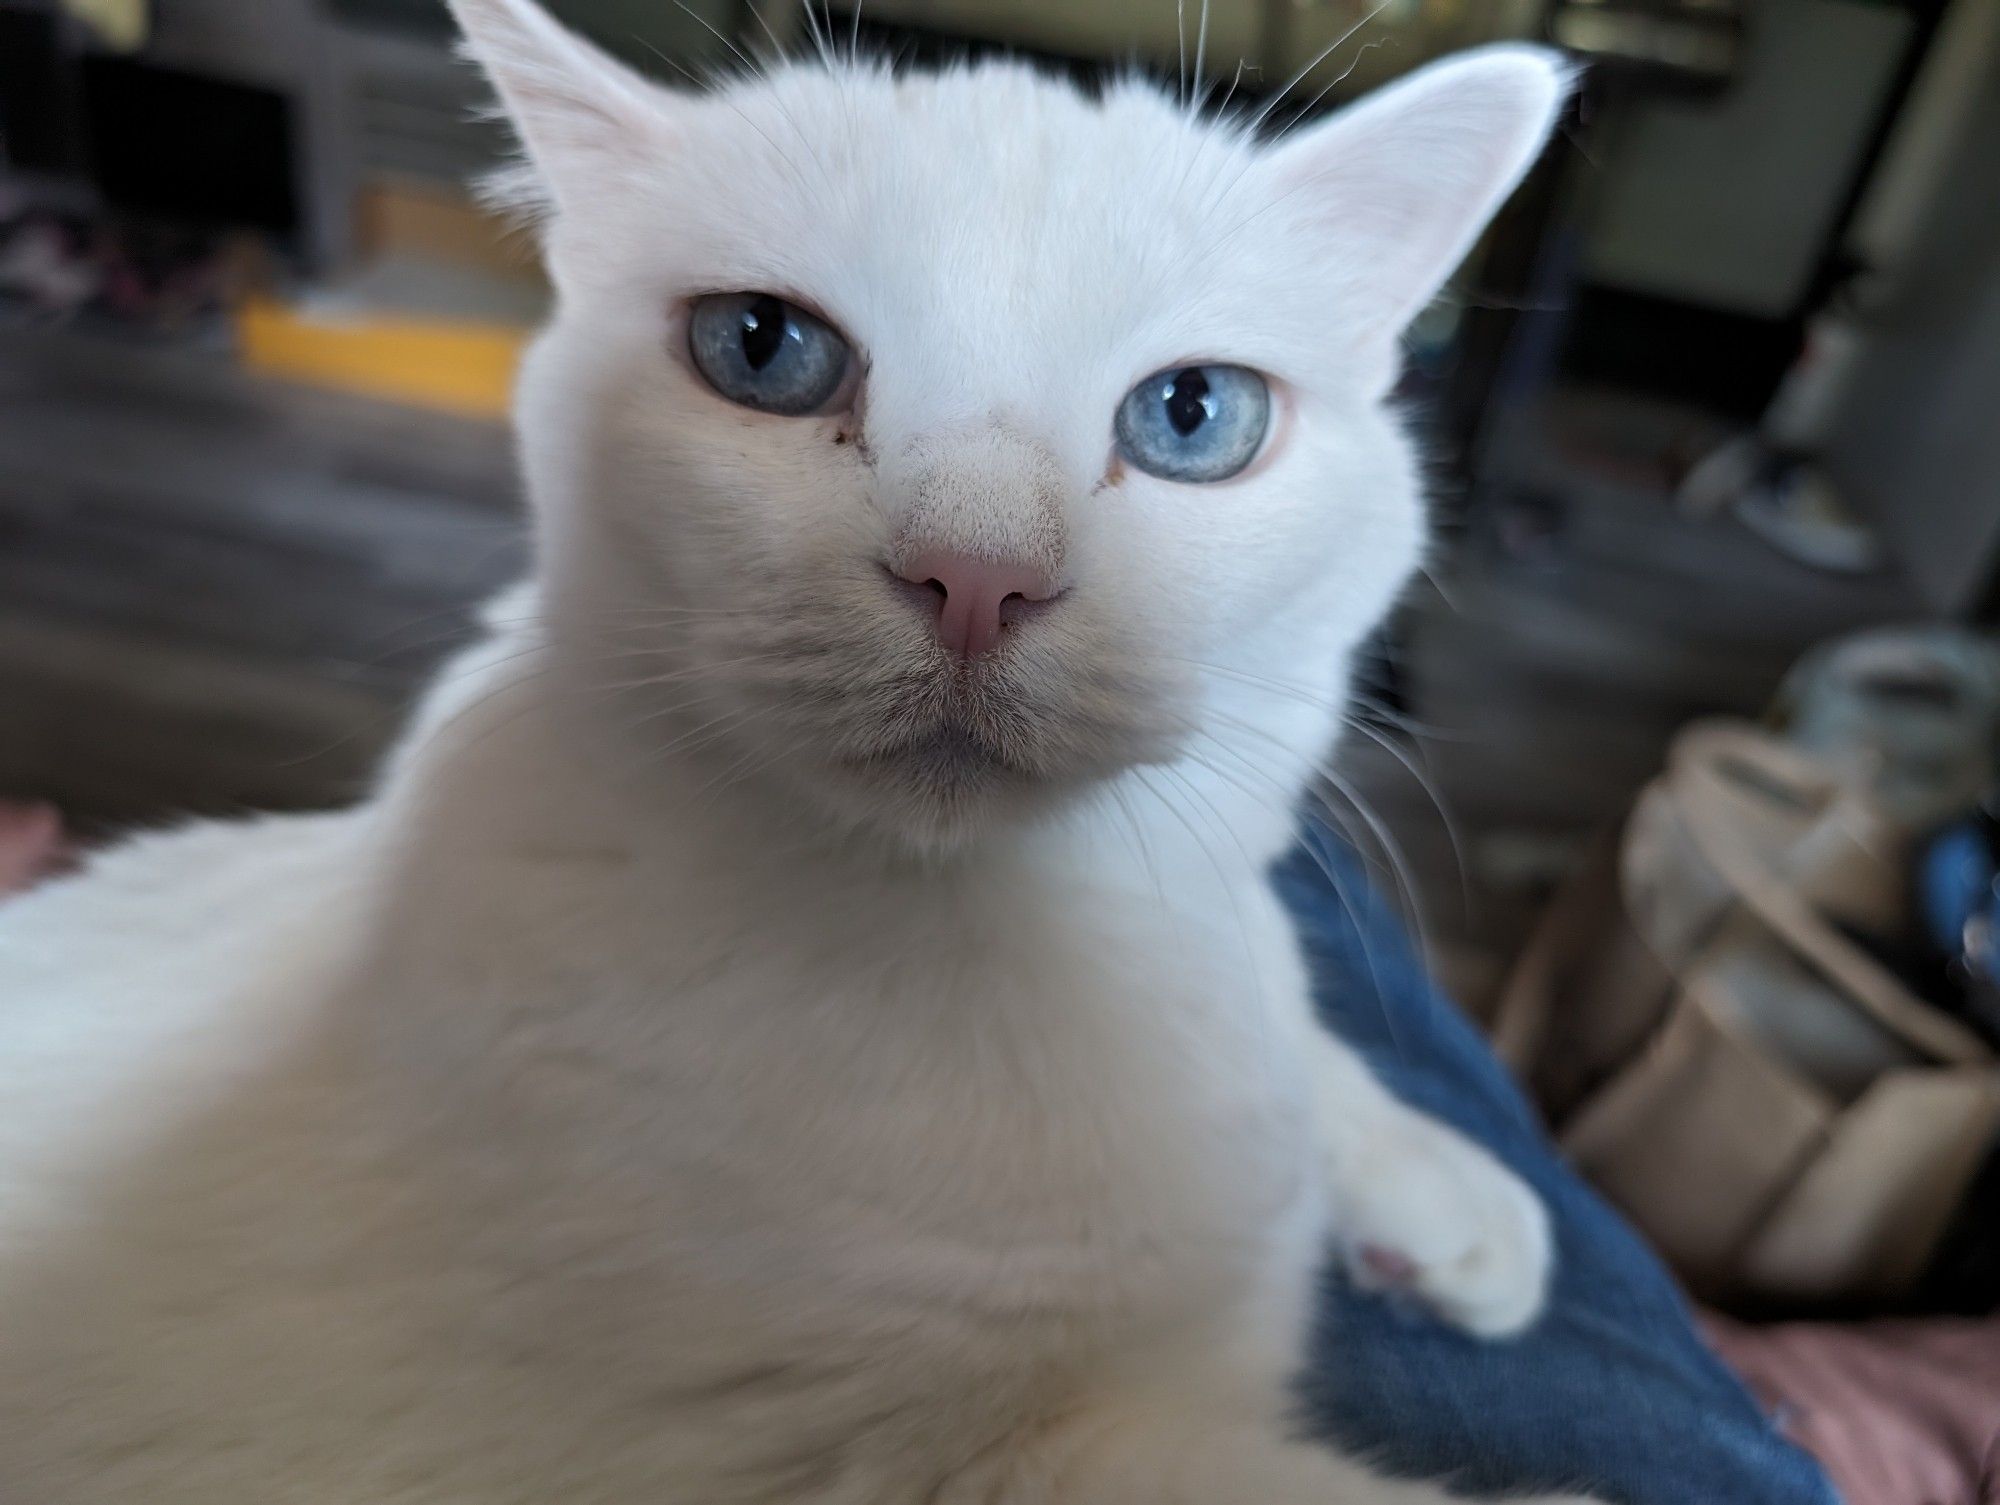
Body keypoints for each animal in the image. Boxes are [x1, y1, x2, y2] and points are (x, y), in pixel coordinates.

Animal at [0, 5, 1592, 1496]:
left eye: (1194, 415)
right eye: (762, 348)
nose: (976, 575)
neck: (1018, 950)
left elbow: (1286, 1007)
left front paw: (1439, 1182)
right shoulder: (950, 1463)